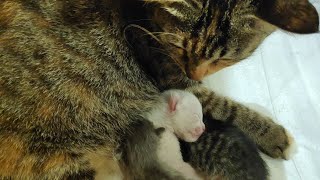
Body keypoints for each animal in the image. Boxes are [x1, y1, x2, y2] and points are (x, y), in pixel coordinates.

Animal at [0, 0, 318, 179]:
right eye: (180, 48)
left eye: (225, 59)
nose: (193, 73)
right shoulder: (170, 74)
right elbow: (225, 107)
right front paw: (274, 135)